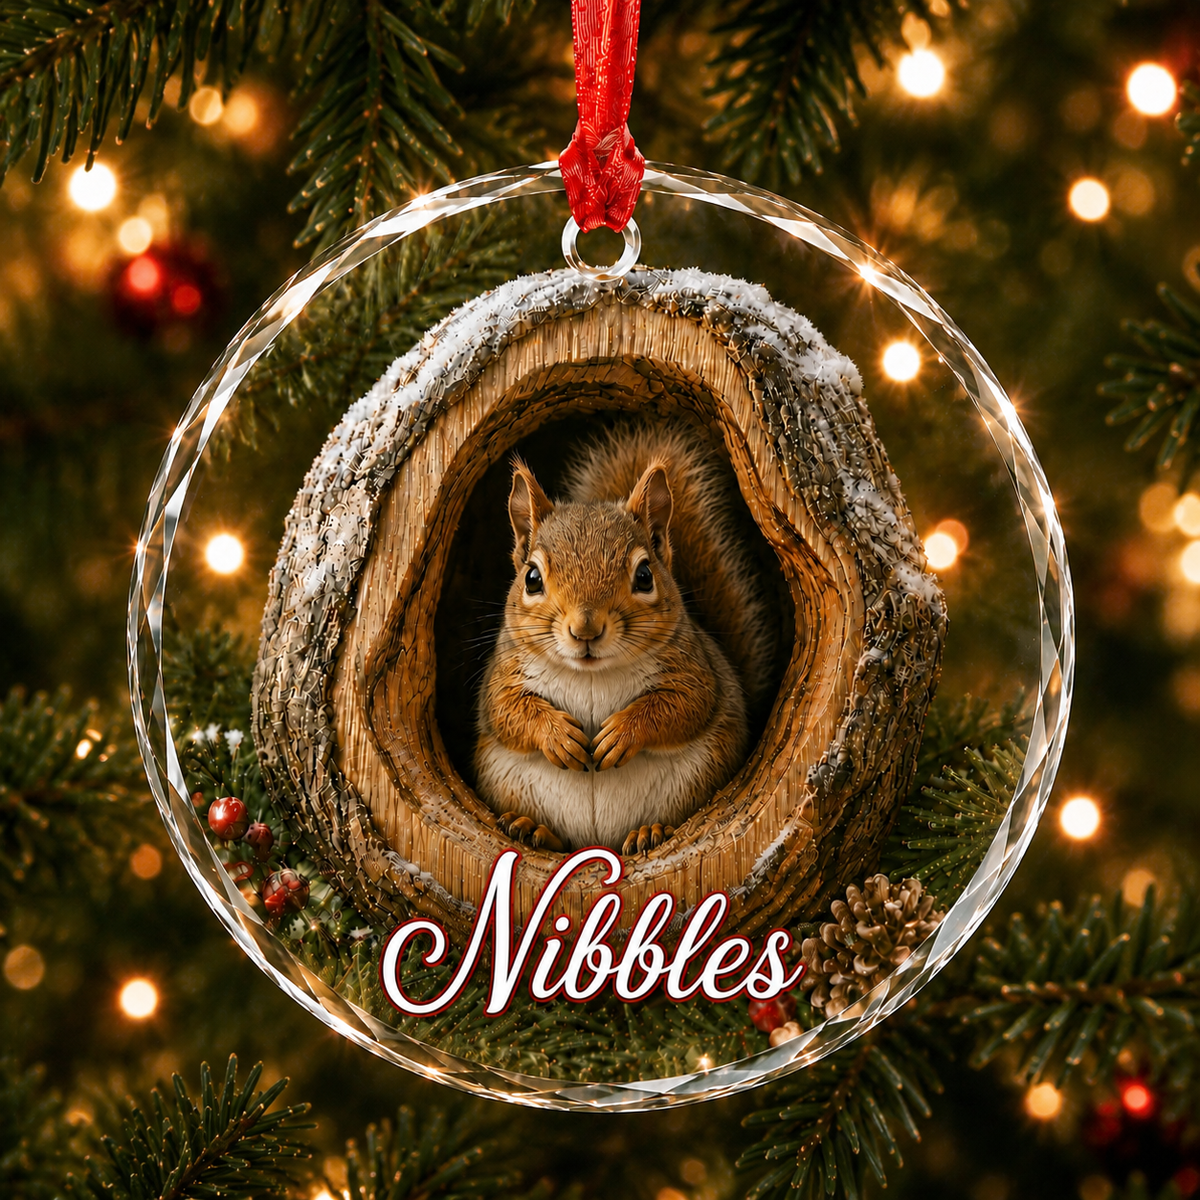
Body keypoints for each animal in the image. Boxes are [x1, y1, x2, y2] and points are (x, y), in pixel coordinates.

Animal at [473, 422, 773, 855]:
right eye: (531, 578)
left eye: (645, 576)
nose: (585, 630)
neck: (591, 674)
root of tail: (599, 843)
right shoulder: (504, 672)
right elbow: (507, 711)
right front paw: (557, 736)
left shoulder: (694, 669)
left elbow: (684, 706)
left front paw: (621, 733)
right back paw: (531, 828)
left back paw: (649, 832)